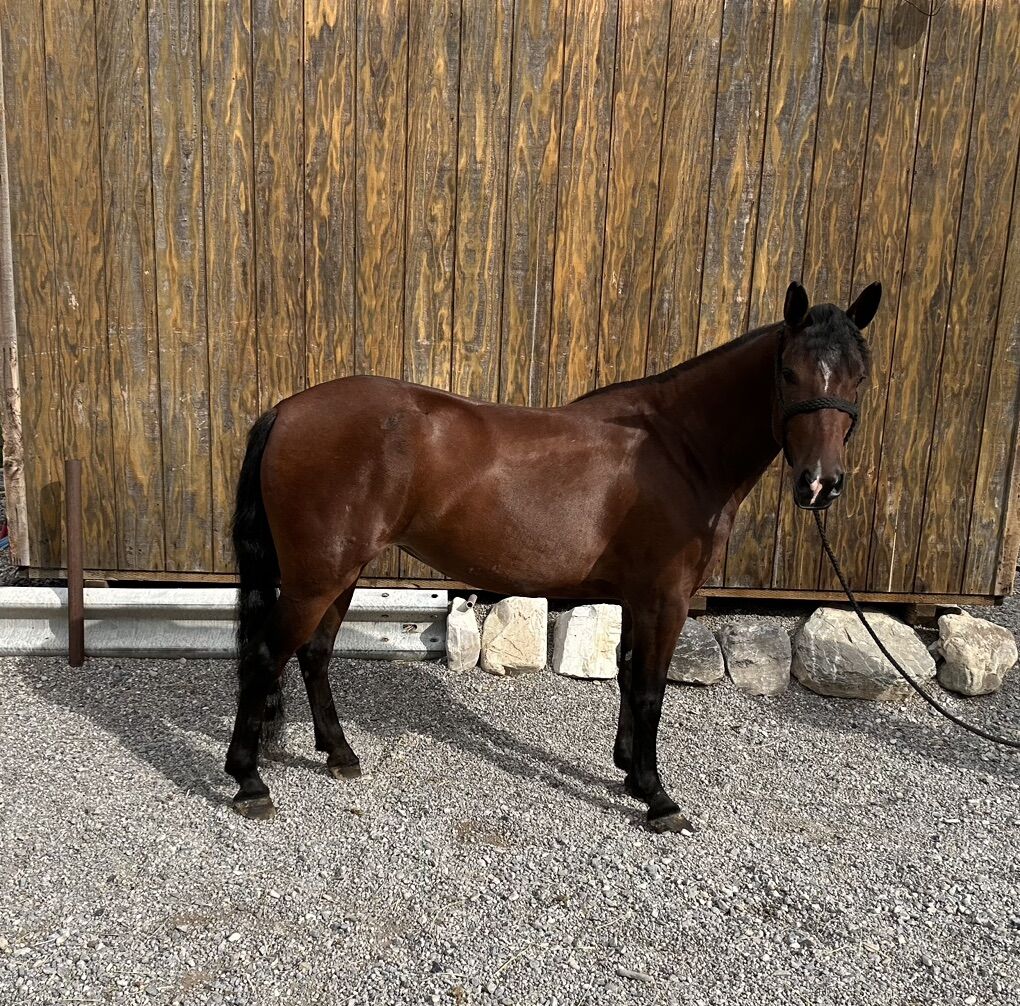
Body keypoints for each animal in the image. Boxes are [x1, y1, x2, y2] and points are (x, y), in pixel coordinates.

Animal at [225, 279, 882, 832]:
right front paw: (658, 797)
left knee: (313, 654)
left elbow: (627, 673)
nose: (820, 484)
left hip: (340, 573)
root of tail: (288, 409)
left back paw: (339, 754)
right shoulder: (666, 597)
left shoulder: (638, 596)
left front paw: (629, 773)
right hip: (317, 577)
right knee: (263, 655)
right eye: (789, 373)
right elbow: (650, 688)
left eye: (859, 377)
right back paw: (249, 781)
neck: (679, 448)